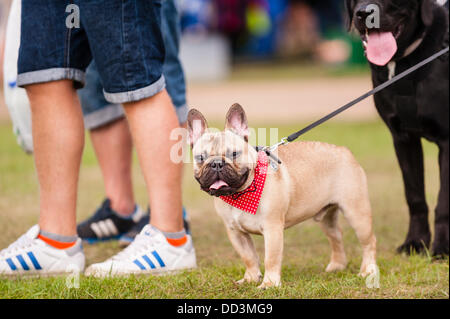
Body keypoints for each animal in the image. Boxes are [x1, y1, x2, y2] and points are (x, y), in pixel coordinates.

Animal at [344, 0, 446, 258]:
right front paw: (415, 242)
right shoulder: (403, 139)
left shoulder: (447, 141)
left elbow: (443, 202)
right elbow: (414, 196)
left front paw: (441, 248)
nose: (364, 14)